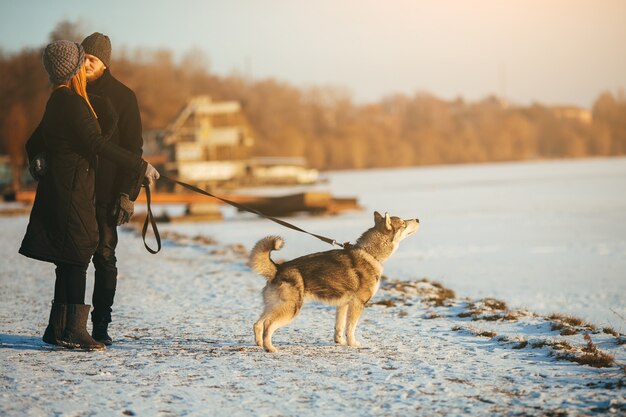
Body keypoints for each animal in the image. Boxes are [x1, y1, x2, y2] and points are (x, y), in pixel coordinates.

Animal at [249, 211, 420, 352]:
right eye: (403, 223)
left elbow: (339, 327)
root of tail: (278, 268)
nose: (418, 219)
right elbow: (351, 328)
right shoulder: (357, 304)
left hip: (274, 305)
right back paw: (269, 348)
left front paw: (341, 342)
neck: (370, 253)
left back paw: (259, 344)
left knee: (258, 323)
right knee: (268, 325)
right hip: (291, 309)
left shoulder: (343, 305)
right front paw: (353, 343)